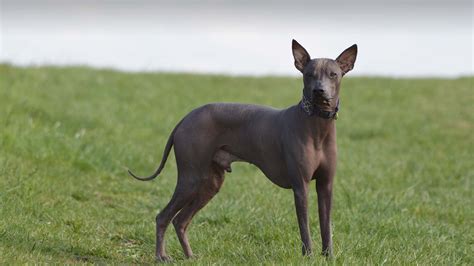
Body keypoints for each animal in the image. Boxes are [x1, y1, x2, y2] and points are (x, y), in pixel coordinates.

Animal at [128, 40, 358, 262]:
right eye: (309, 74)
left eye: (333, 74)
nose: (319, 90)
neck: (317, 126)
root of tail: (186, 118)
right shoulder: (301, 187)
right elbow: (305, 227)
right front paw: (308, 256)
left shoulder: (326, 186)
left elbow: (326, 226)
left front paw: (329, 257)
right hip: (190, 179)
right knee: (163, 217)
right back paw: (161, 256)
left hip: (210, 184)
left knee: (180, 220)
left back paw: (190, 256)